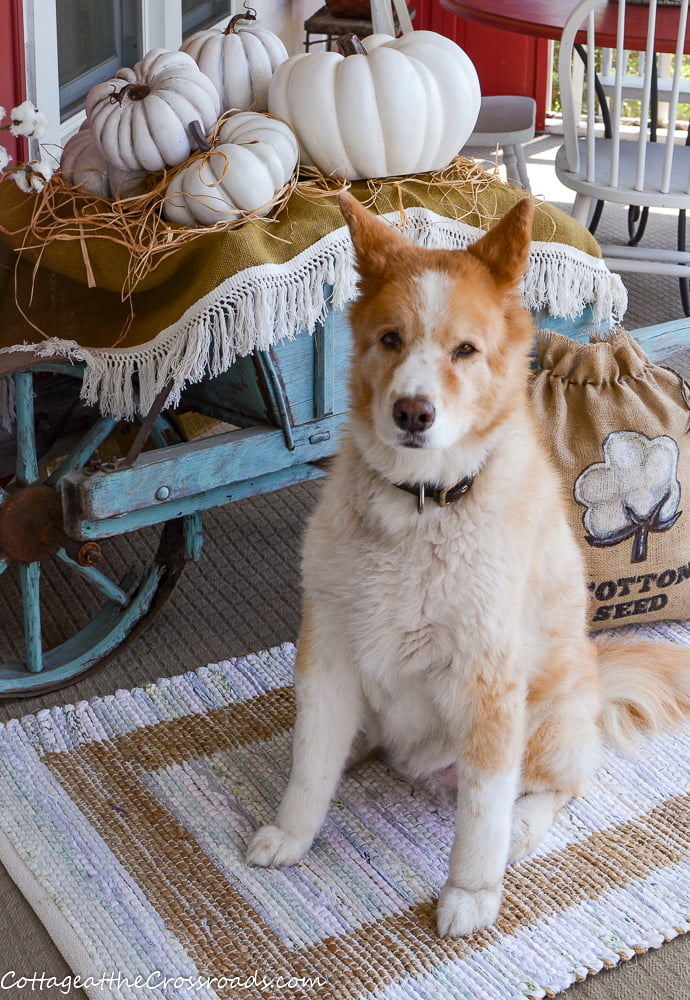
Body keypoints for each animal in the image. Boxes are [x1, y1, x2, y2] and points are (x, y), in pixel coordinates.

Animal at [246, 193, 688, 936]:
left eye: (465, 350)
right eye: (390, 339)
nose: (412, 412)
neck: (421, 506)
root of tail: (599, 679)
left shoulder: (487, 685)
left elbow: (481, 814)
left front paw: (473, 893)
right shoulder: (327, 650)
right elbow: (310, 763)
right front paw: (293, 833)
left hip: (546, 723)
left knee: (563, 785)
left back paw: (524, 828)